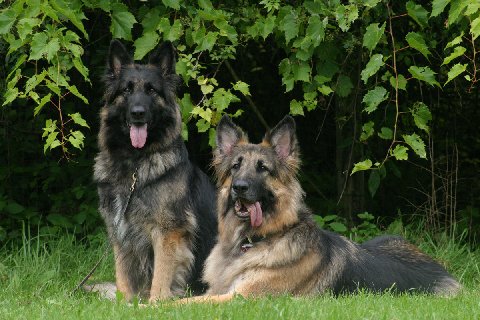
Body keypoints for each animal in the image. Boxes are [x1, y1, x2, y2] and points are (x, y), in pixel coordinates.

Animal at [94, 40, 218, 302]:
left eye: (151, 91)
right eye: (127, 90)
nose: (138, 113)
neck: (134, 164)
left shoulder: (168, 233)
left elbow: (160, 277)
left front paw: (155, 304)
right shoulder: (120, 232)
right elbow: (123, 277)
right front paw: (124, 304)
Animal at [183, 115, 458, 302]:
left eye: (263, 168)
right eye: (235, 167)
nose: (239, 187)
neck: (260, 238)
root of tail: (442, 271)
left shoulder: (241, 297)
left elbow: (186, 302)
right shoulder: (218, 290)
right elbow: (186, 297)